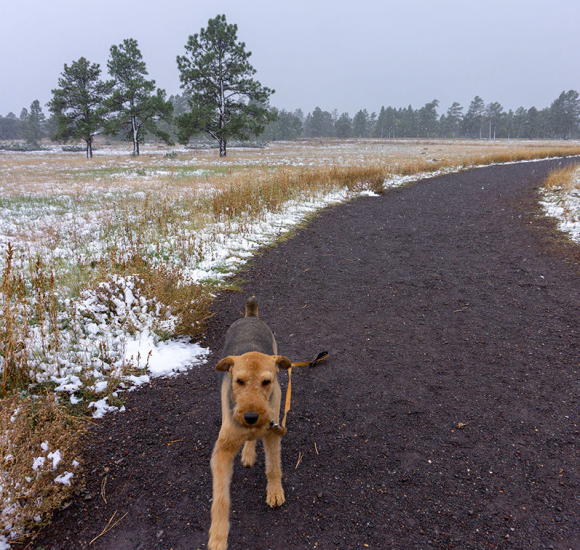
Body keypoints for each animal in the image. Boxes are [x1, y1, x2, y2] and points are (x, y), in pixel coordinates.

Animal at [207, 300, 290, 550]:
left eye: (266, 381)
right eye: (239, 381)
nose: (251, 417)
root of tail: (250, 316)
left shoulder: (273, 432)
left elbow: (273, 468)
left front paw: (275, 493)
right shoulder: (223, 449)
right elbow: (221, 499)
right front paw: (218, 538)